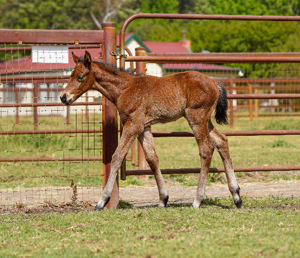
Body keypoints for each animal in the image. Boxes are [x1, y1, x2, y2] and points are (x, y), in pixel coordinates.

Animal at [60, 51, 241, 211]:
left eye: (80, 77)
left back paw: (198, 200)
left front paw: (102, 201)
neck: (125, 88)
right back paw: (237, 196)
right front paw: (163, 199)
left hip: (196, 117)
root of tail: (214, 82)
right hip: (205, 121)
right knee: (222, 141)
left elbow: (117, 156)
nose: (63, 97)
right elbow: (152, 158)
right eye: (70, 75)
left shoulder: (133, 125)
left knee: (206, 148)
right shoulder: (144, 126)